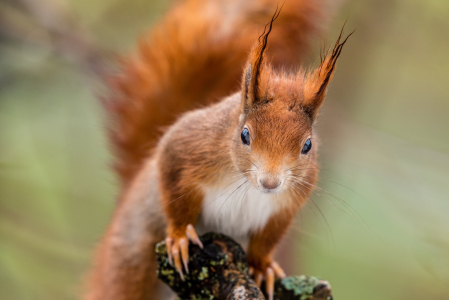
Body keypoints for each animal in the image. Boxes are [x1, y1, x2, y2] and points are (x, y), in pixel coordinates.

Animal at [86, 0, 348, 300]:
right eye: (245, 134)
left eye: (307, 145)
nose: (270, 183)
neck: (247, 185)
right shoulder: (183, 147)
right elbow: (176, 197)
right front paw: (179, 238)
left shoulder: (287, 204)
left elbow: (266, 241)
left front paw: (264, 267)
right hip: (131, 262)